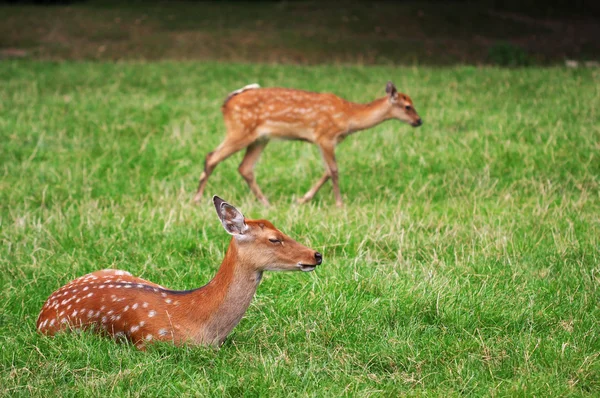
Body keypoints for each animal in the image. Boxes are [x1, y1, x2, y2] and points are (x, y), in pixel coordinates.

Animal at [192, 83, 422, 210]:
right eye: (407, 106)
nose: (419, 121)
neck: (348, 117)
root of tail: (226, 104)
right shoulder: (325, 136)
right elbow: (334, 170)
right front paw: (339, 204)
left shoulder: (325, 141)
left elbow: (327, 171)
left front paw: (302, 199)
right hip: (240, 130)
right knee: (212, 157)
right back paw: (196, 199)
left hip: (260, 138)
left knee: (244, 168)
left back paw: (266, 203)